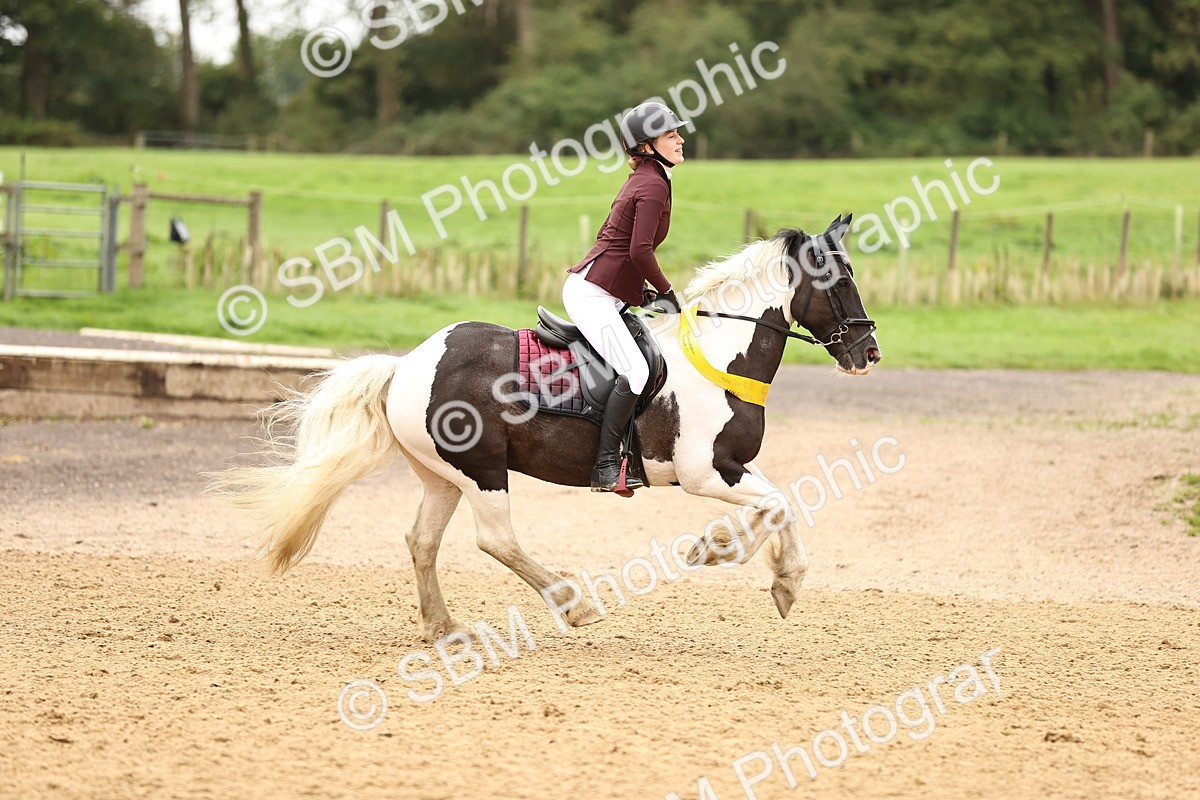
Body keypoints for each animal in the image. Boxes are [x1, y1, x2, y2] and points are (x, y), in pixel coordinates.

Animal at [209, 214, 881, 641]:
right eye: (841, 278)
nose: (868, 351)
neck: (718, 355)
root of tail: (406, 366)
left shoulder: (734, 466)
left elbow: (781, 502)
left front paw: (781, 579)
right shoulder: (705, 472)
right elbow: (775, 505)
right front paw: (720, 550)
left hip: (443, 475)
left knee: (422, 541)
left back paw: (443, 627)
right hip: (483, 469)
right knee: (495, 541)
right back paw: (573, 605)